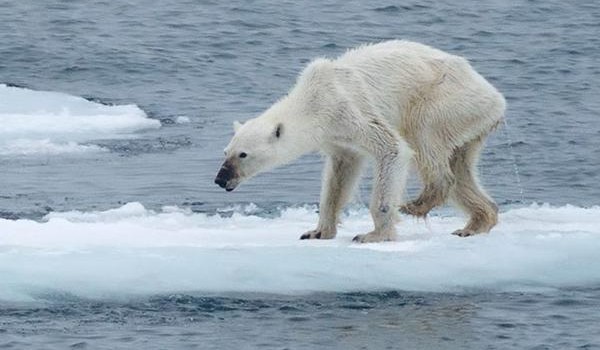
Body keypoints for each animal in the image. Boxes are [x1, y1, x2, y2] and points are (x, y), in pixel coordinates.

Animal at [213, 41, 504, 242]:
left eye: (243, 154)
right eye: (225, 151)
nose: (220, 179)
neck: (312, 99)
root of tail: (496, 97)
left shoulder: (348, 109)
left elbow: (392, 148)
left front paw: (373, 235)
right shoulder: (336, 137)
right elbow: (339, 175)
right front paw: (317, 231)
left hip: (445, 100)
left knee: (424, 138)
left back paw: (418, 203)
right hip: (469, 123)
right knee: (461, 167)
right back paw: (475, 223)